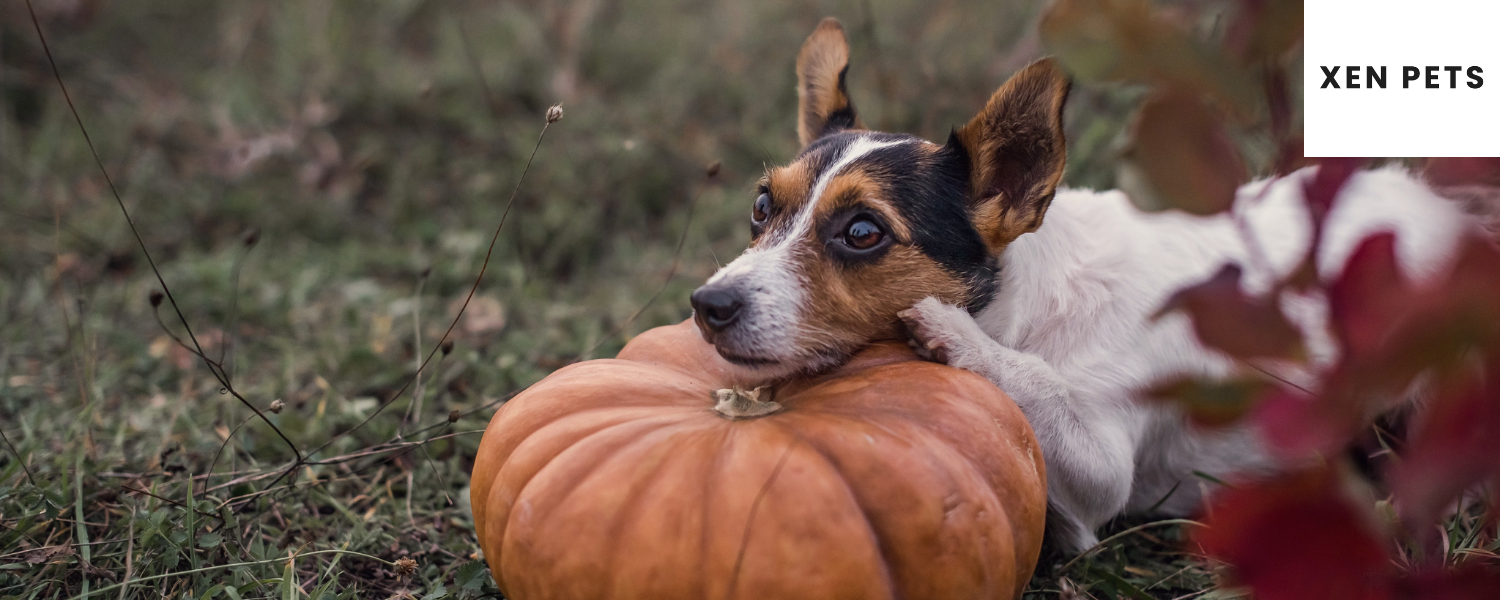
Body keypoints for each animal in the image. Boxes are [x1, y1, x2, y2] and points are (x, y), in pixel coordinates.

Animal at [690, 18, 1476, 552]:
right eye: (761, 205)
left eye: (862, 233)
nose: (707, 305)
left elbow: (1041, 388)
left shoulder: (1102, 471)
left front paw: (955, 332)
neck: (1030, 310)